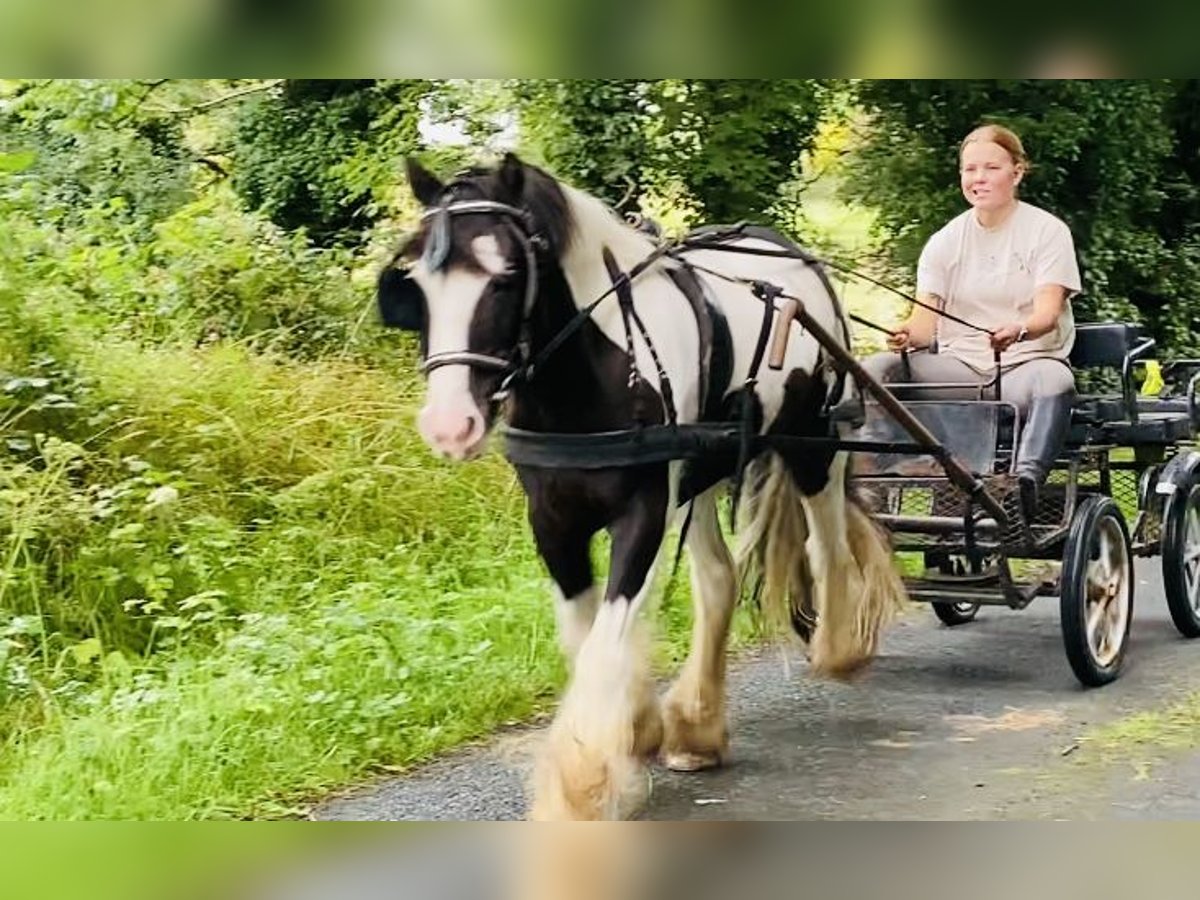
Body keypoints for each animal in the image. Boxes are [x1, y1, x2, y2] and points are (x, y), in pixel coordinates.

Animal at [379, 154, 902, 825]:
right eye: (415, 285)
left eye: (507, 276)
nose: (449, 425)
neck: (592, 373)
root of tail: (789, 251)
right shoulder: (553, 521)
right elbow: (585, 633)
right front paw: (636, 728)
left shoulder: (644, 511)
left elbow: (610, 634)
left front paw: (581, 786)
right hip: (699, 471)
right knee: (718, 577)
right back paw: (698, 727)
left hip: (813, 441)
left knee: (827, 544)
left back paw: (839, 648)